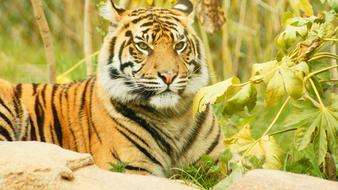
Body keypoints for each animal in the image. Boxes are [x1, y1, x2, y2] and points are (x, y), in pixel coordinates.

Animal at [0, 0, 224, 177]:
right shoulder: (132, 168)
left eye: (179, 45)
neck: (172, 116)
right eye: (143, 46)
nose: (168, 75)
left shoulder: (217, 163)